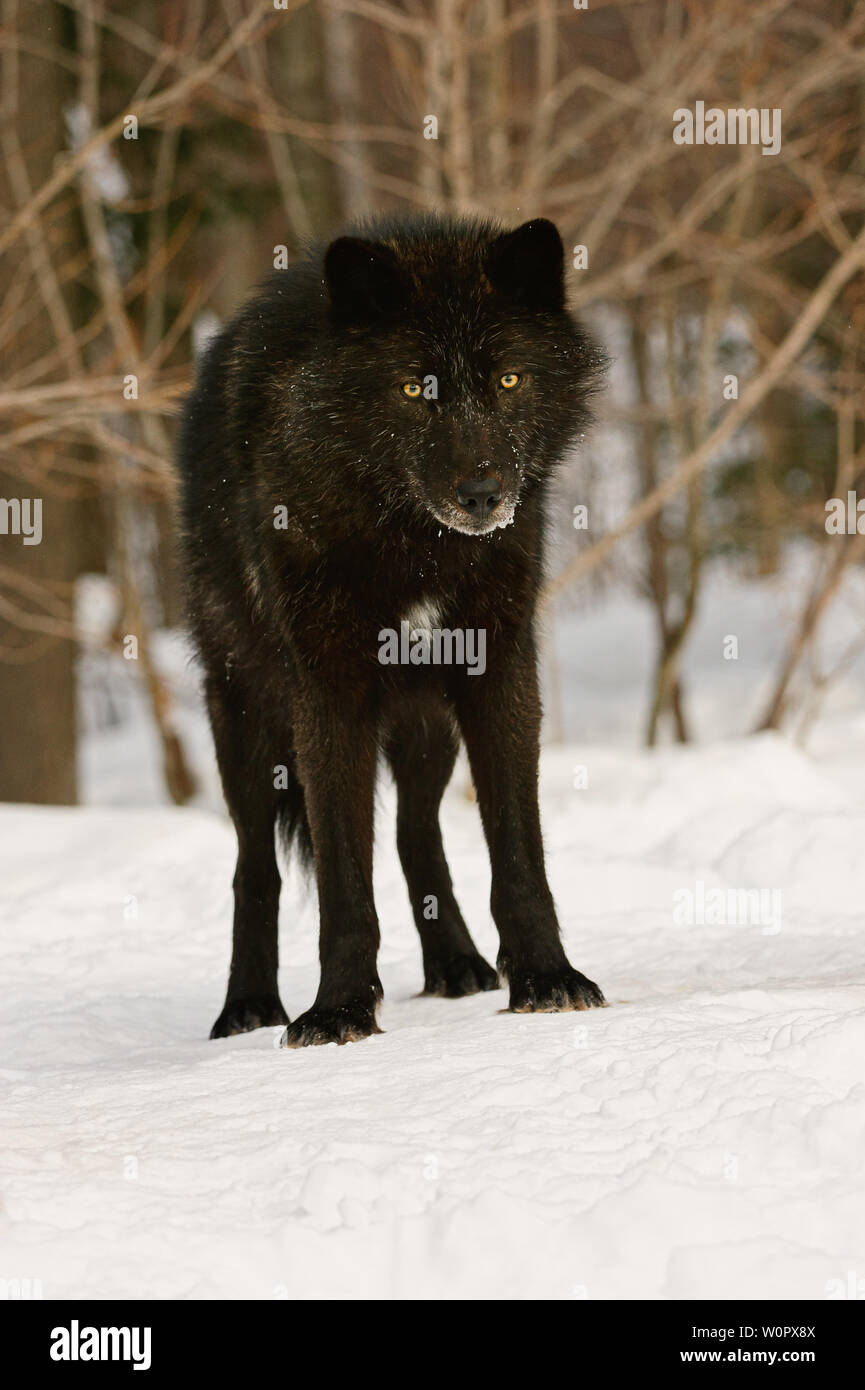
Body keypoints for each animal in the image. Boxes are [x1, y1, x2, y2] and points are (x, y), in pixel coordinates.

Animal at [178, 214, 607, 1047]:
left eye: (508, 381)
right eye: (414, 389)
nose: (482, 495)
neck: (414, 545)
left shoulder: (498, 671)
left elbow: (519, 859)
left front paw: (545, 977)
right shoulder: (329, 692)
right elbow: (343, 883)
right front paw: (338, 1010)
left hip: (424, 721)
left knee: (416, 833)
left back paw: (458, 965)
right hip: (245, 717)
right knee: (255, 869)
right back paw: (246, 1007)